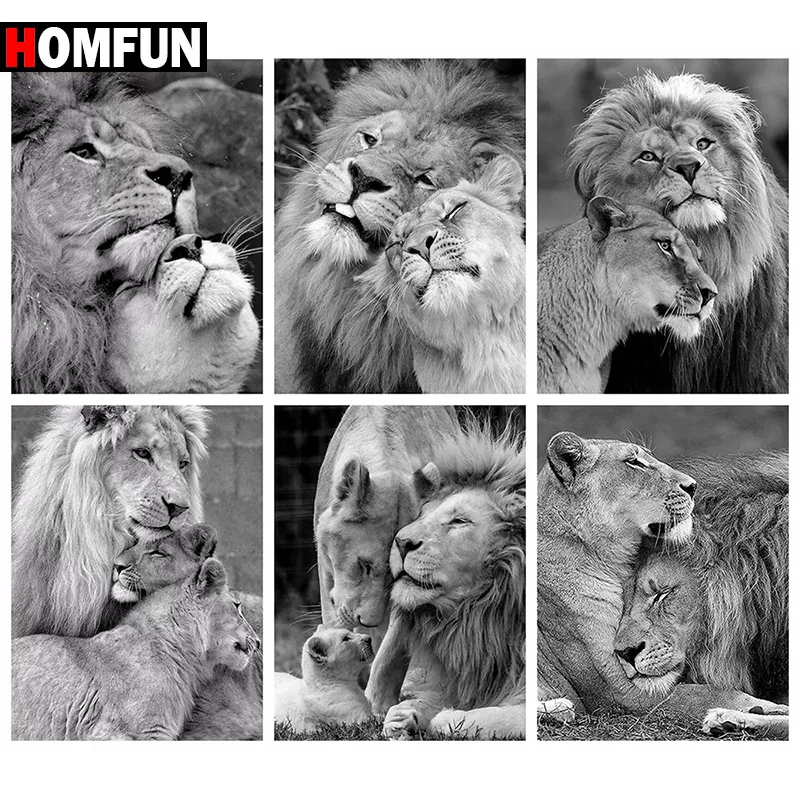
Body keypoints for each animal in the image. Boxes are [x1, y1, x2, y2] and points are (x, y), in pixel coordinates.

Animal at [365, 423, 525, 740]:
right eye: (422, 514)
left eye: (459, 521)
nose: (401, 542)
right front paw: (405, 716)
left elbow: (496, 717)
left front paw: (445, 718)